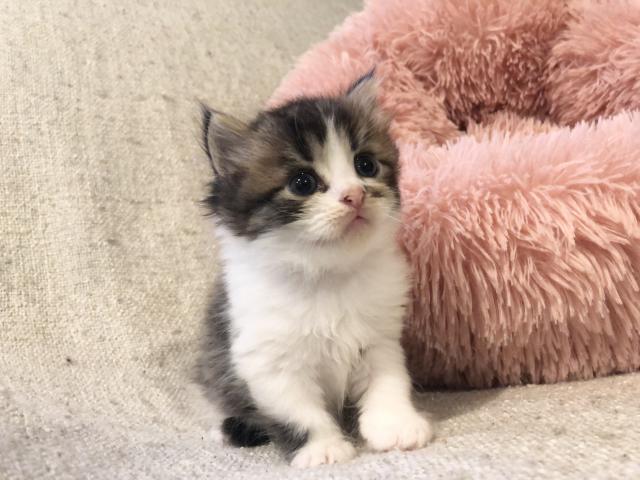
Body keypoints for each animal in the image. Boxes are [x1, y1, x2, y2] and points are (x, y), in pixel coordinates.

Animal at [197, 72, 433, 468]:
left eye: (365, 165)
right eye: (302, 183)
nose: (355, 195)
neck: (328, 275)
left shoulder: (379, 340)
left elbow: (388, 383)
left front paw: (395, 426)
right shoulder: (267, 360)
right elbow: (299, 412)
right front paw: (323, 448)